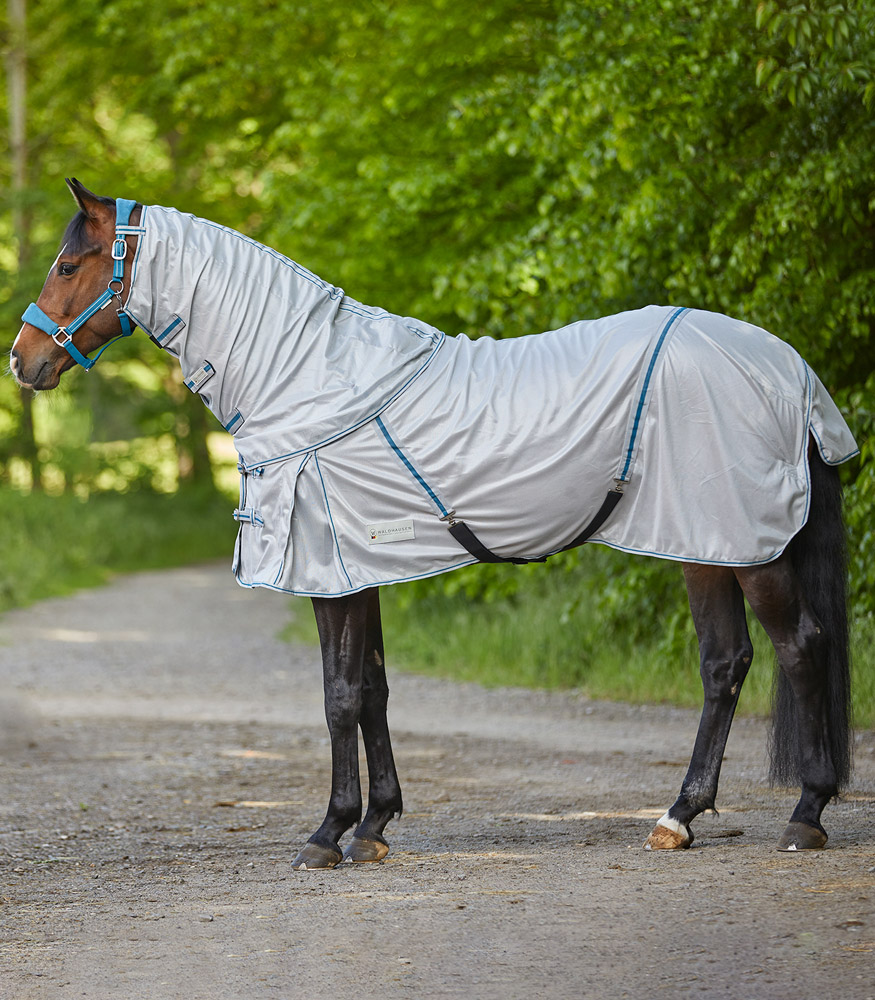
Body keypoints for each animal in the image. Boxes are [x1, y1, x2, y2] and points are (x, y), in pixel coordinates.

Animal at [10, 179, 858, 868]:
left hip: (747, 546)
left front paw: (328, 834)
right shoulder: (360, 569)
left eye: (67, 265)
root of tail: (786, 366)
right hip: (702, 542)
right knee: (724, 665)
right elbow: (375, 690)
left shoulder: (332, 574)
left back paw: (805, 814)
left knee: (800, 646)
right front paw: (375, 826)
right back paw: (677, 818)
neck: (308, 378)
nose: (22, 361)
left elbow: (340, 696)